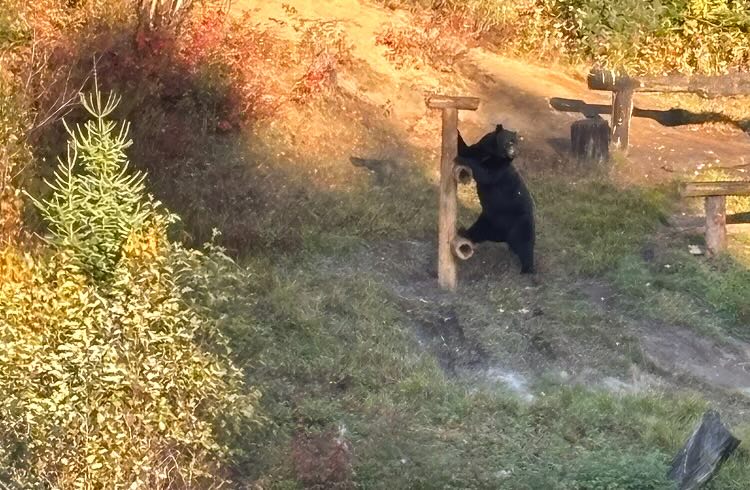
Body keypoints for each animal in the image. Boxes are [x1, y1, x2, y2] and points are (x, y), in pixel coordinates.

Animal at [455, 124, 536, 274]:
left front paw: (462, 159)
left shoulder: (500, 167)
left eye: (517, 142)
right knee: (478, 231)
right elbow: (465, 148)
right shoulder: (480, 148)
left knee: (525, 245)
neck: (493, 153)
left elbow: (486, 174)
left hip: (521, 222)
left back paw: (527, 268)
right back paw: (464, 232)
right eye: (509, 142)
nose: (515, 153)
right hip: (489, 220)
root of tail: (504, 236)